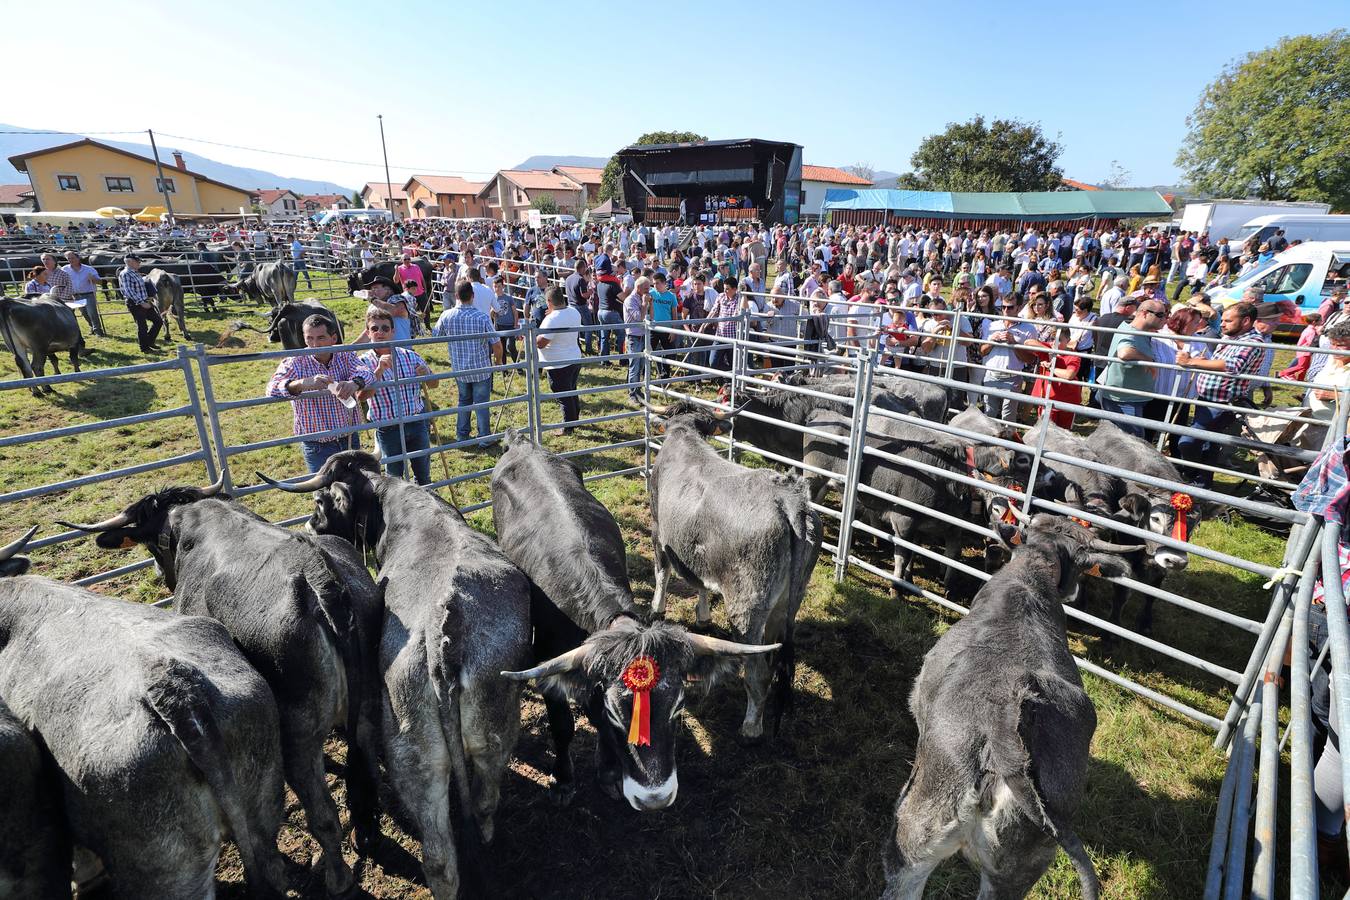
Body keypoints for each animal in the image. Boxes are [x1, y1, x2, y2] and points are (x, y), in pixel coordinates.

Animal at [260, 453, 534, 900]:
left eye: (321, 502)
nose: (310, 526)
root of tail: (444, 635)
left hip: (415, 758)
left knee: (440, 857)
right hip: (492, 734)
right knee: (481, 807)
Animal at [645, 402, 820, 744]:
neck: (684, 435)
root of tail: (789, 500)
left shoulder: (659, 530)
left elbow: (662, 572)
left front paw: (656, 609)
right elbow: (698, 582)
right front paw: (702, 616)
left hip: (747, 607)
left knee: (757, 672)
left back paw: (751, 726)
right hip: (786, 603)